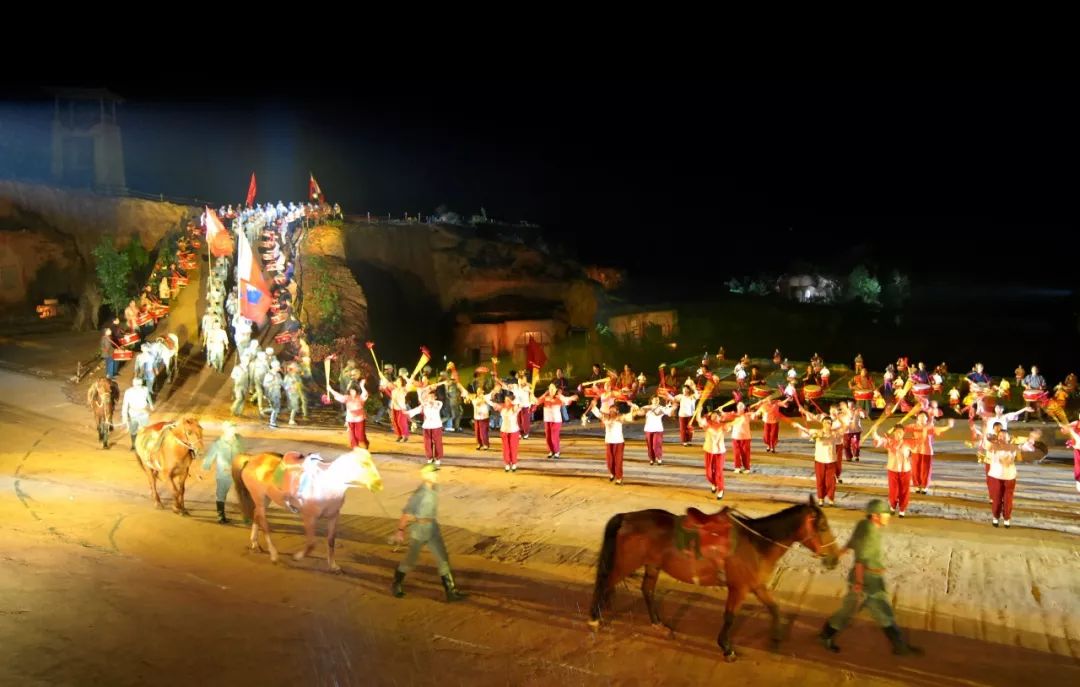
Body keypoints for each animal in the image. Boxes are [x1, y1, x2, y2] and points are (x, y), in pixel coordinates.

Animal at [234, 447, 386, 570]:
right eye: (364, 465)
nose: (378, 485)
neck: (328, 484)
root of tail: (251, 459)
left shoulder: (334, 516)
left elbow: (331, 540)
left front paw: (333, 565)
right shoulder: (309, 517)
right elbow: (312, 543)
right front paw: (297, 557)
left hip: (264, 500)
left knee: (256, 515)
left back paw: (255, 544)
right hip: (260, 499)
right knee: (265, 525)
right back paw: (274, 555)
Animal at [587, 496, 838, 661]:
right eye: (822, 526)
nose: (834, 559)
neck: (756, 543)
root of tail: (626, 518)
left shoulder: (756, 585)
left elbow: (775, 609)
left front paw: (775, 641)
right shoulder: (739, 588)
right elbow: (729, 617)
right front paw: (726, 648)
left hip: (652, 565)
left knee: (646, 590)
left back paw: (658, 625)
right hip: (625, 565)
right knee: (605, 584)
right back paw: (595, 619)